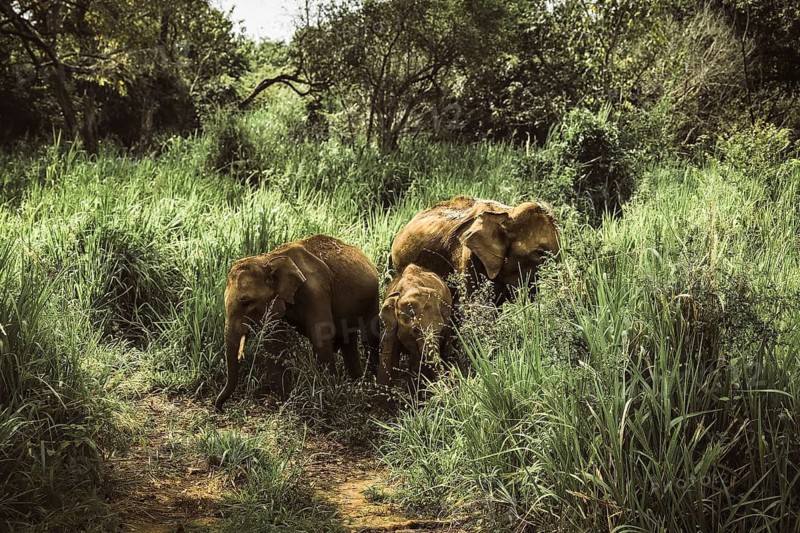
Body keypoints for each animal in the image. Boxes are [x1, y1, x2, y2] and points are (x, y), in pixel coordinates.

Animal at [215, 234, 381, 411]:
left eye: (246, 302)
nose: (220, 408)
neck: (269, 259)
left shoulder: (316, 292)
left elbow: (320, 336)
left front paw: (327, 393)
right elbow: (274, 343)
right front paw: (276, 402)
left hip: (373, 298)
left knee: (369, 338)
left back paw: (372, 384)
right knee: (348, 340)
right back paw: (357, 383)